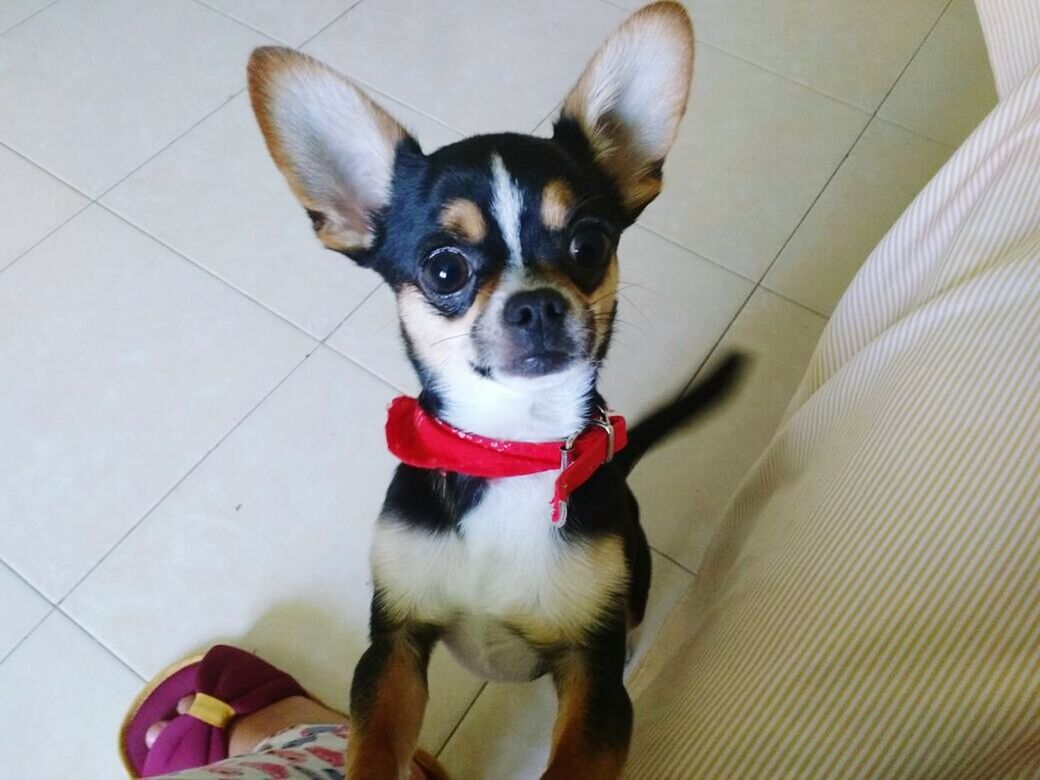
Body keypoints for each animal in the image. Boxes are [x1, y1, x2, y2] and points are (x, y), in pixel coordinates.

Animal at [248, 3, 744, 777]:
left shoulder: (594, 683)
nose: (536, 305)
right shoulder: (393, 649)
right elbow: (371, 748)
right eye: (444, 270)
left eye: (589, 245)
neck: (512, 449)